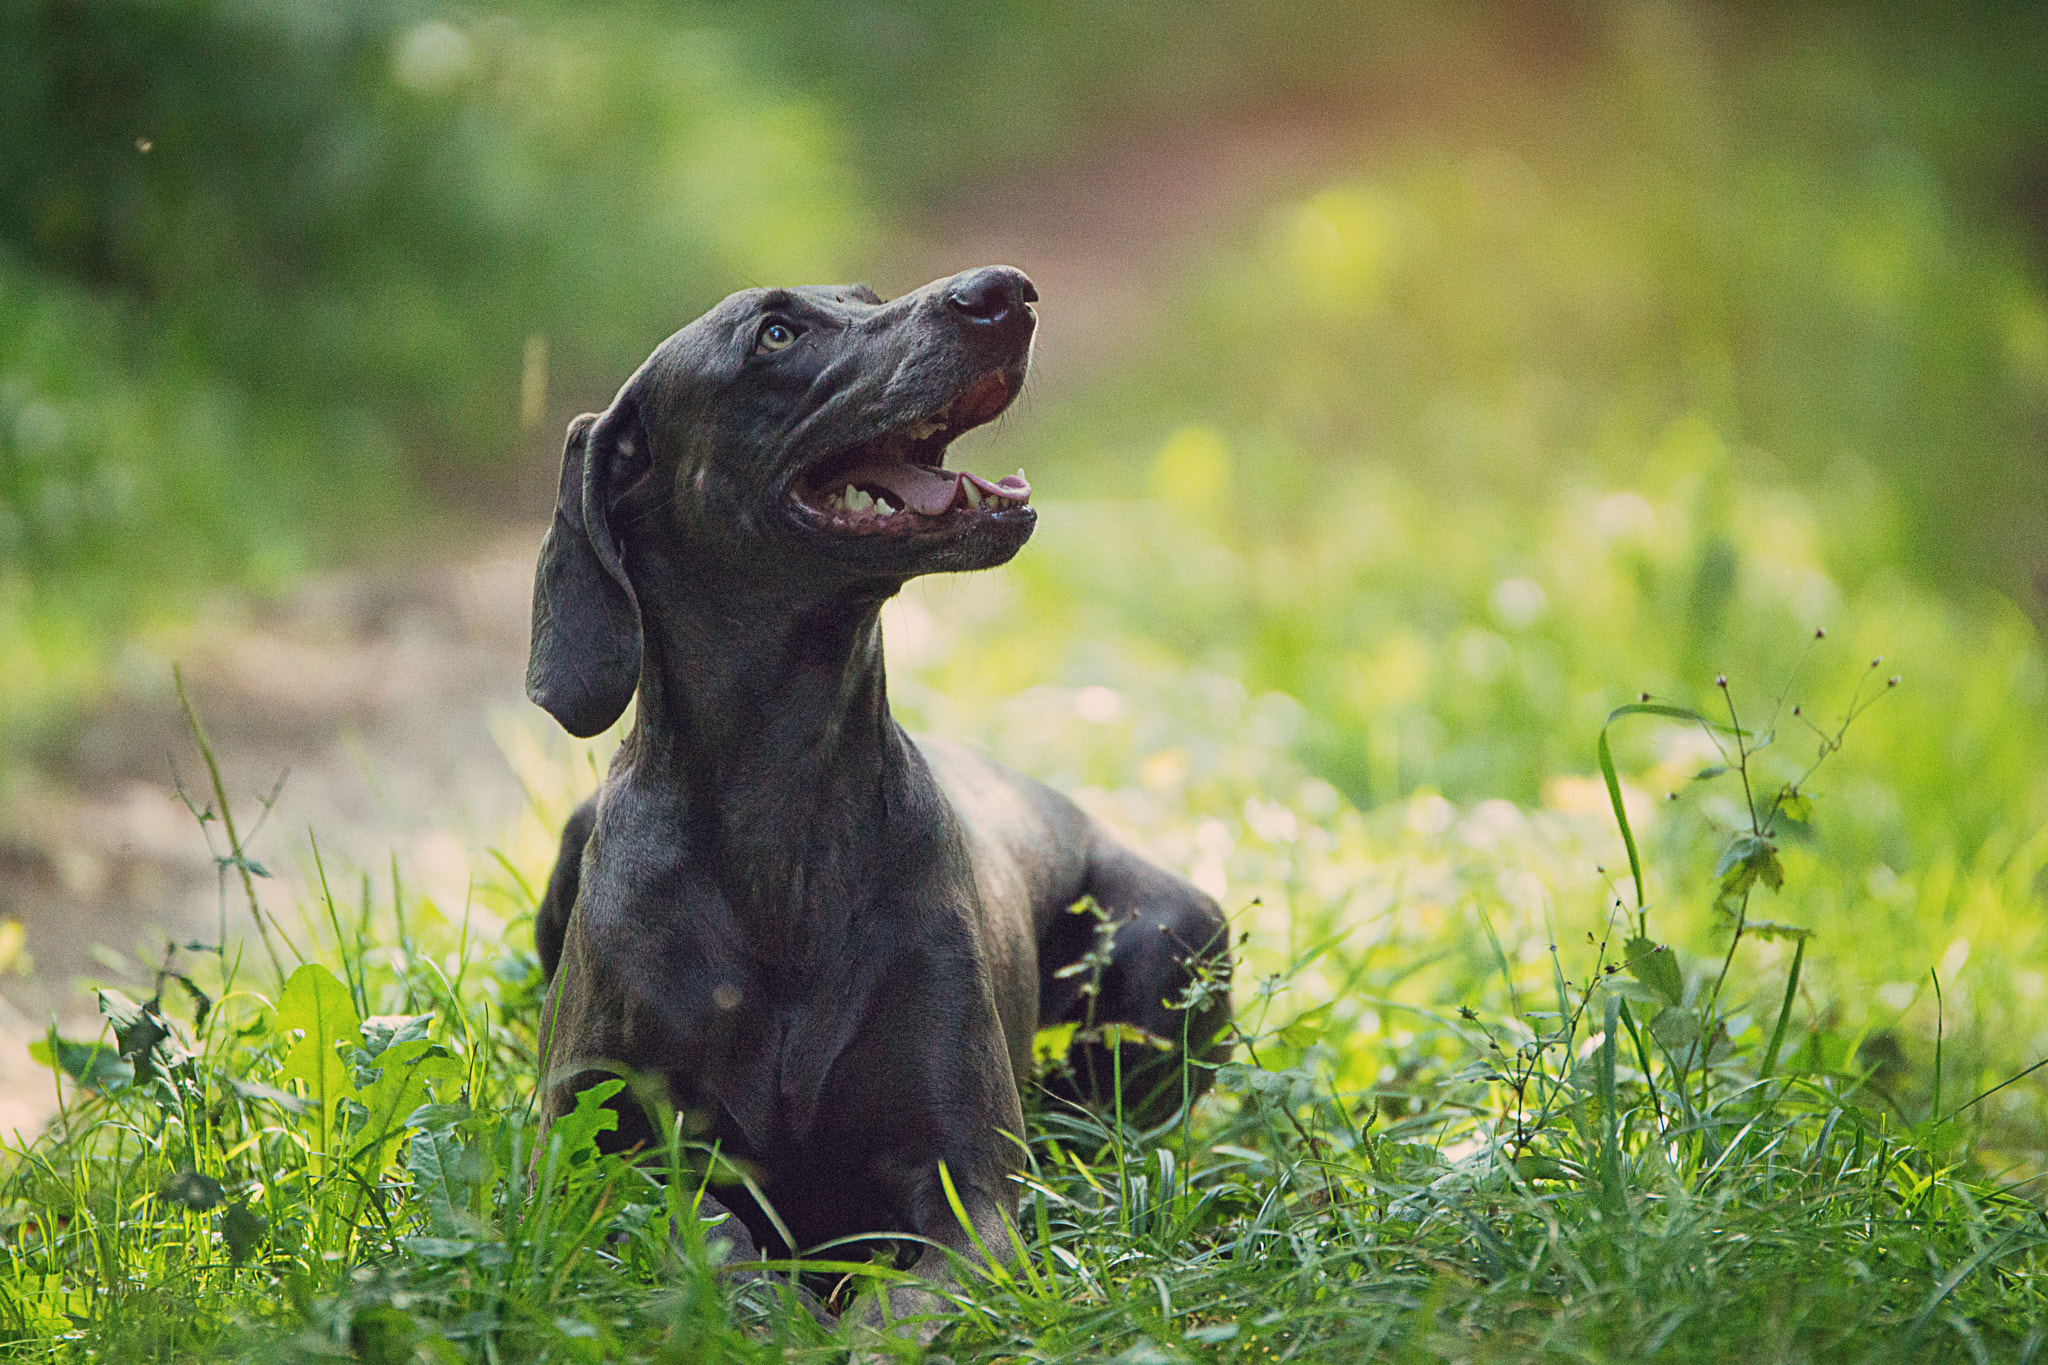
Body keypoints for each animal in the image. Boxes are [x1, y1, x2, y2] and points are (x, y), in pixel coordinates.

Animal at [528, 266, 1228, 1334]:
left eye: (864, 294)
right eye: (776, 333)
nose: (1003, 290)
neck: (783, 813)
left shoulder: (968, 1192)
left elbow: (888, 1315)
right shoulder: (579, 1156)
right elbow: (705, 1231)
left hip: (1177, 936)